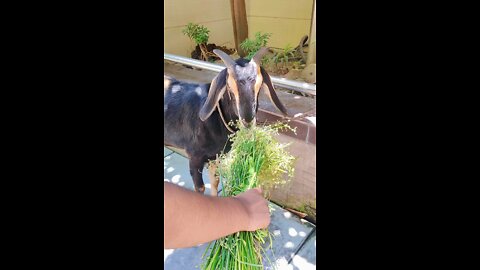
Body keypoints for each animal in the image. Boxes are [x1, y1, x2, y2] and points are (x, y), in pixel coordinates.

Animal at [163, 48, 286, 195]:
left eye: (260, 84)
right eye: (229, 86)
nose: (247, 120)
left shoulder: (216, 157)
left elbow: (215, 182)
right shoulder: (194, 157)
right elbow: (200, 188)